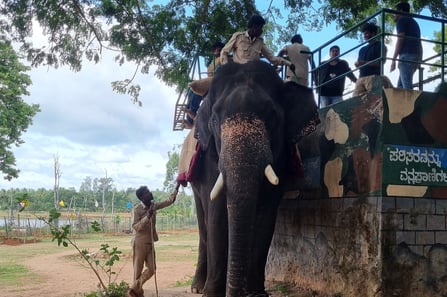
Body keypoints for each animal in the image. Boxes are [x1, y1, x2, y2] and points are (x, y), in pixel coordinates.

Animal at [191, 60, 320, 296]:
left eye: (272, 116)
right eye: (215, 118)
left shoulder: (281, 159)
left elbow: (266, 217)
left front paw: (257, 294)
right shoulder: (210, 158)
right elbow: (216, 214)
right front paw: (211, 293)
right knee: (204, 226)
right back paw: (197, 287)